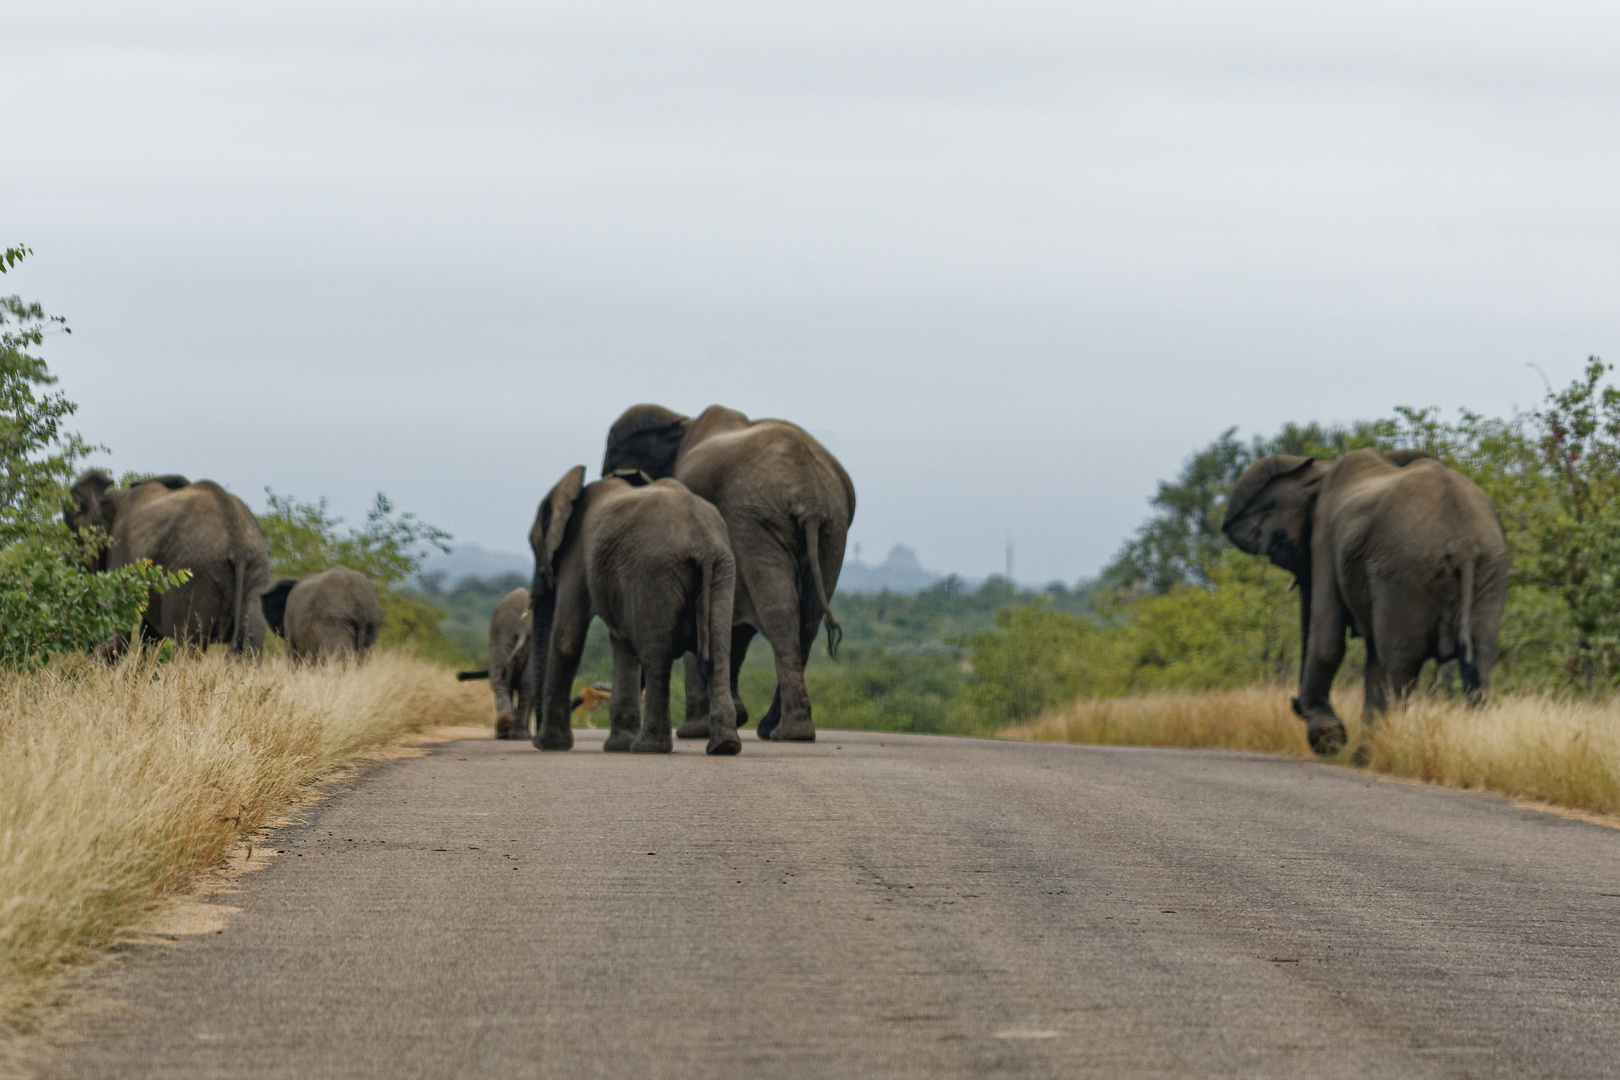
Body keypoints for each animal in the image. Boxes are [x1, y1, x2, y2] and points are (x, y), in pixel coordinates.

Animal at [63, 469, 272, 650]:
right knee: (249, 645)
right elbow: (150, 635)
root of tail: (238, 546)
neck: (113, 498)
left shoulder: (120, 553)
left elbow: (116, 631)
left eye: (77, 538)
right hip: (256, 571)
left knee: (188, 645)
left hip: (195, 574)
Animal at [528, 463, 738, 751]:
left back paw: (648, 747)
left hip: (655, 574)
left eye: (533, 545)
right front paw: (617, 746)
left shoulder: (577, 552)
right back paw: (724, 746)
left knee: (657, 656)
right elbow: (621, 641)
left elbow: (567, 638)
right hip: (721, 570)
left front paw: (547, 745)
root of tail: (702, 542)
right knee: (717, 652)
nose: (533, 738)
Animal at [602, 404, 855, 744]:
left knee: (780, 613)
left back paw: (787, 732)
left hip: (757, 521)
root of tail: (810, 495)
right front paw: (733, 717)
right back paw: (781, 730)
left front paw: (696, 730)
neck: (681, 422)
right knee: (806, 620)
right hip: (830, 530)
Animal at [1218, 446, 1509, 761]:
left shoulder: (1324, 539)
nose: (1295, 705)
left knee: (1399, 669)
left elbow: (1327, 641)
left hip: (1405, 572)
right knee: (1478, 666)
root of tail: (1463, 541)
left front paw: (1329, 740)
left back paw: (1389, 754)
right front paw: (1351, 752)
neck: (1318, 471)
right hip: (1488, 568)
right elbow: (1370, 660)